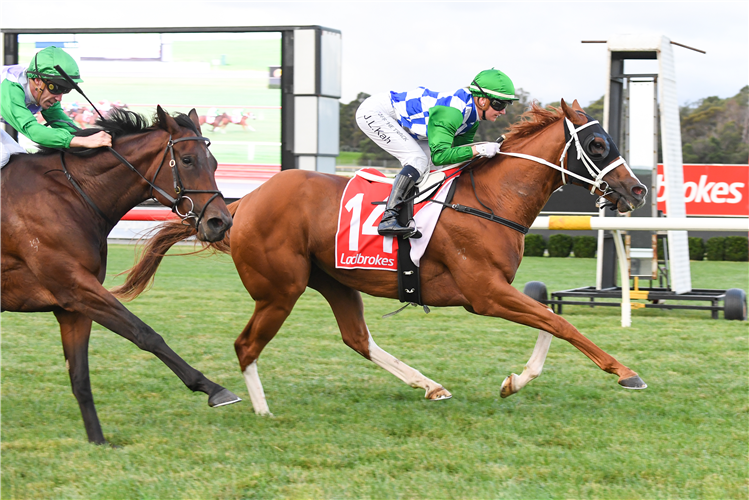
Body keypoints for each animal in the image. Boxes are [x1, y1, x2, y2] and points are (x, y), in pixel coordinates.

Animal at [0, 105, 240, 442]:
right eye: (187, 160)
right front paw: (213, 388)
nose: (221, 222)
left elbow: (80, 376)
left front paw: (98, 440)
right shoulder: (75, 286)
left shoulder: (72, 306)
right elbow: (145, 333)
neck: (70, 195)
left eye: (215, 163)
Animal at [117, 99, 648, 416]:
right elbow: (558, 321)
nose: (637, 190)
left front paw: (514, 382)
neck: (491, 199)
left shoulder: (497, 290)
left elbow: (547, 316)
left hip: (332, 280)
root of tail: (239, 205)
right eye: (597, 143)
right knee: (247, 345)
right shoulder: (484, 293)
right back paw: (261, 410)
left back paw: (430, 385)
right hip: (280, 289)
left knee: (357, 338)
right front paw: (625, 373)